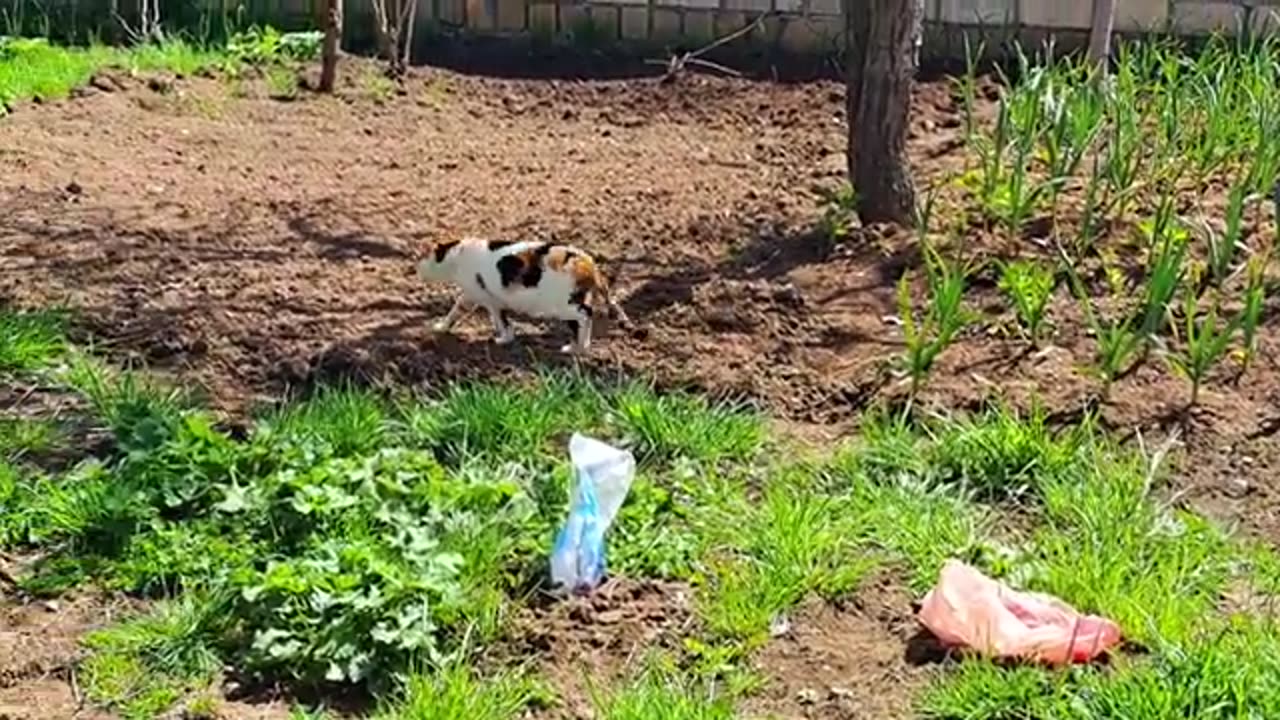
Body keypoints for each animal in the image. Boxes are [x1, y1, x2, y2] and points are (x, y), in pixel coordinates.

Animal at [417, 237, 632, 351]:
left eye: (421, 259)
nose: (415, 269)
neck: (456, 255)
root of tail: (588, 263)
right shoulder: (472, 296)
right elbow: (455, 310)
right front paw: (441, 327)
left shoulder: (490, 300)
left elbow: (501, 321)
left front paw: (504, 339)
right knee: (583, 319)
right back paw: (579, 346)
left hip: (562, 305)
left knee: (586, 314)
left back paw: (578, 348)